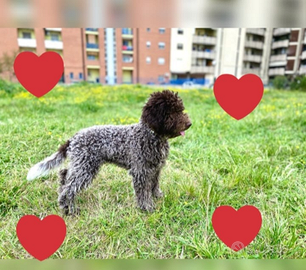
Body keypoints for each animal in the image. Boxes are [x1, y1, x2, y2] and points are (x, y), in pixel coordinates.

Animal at [27, 90, 192, 215]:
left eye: (181, 109)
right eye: (171, 112)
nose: (189, 124)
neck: (151, 135)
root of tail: (74, 138)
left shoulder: (155, 168)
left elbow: (154, 185)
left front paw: (157, 196)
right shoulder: (141, 171)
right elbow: (143, 192)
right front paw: (147, 207)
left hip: (81, 164)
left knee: (64, 174)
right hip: (86, 167)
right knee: (69, 188)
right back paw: (69, 209)